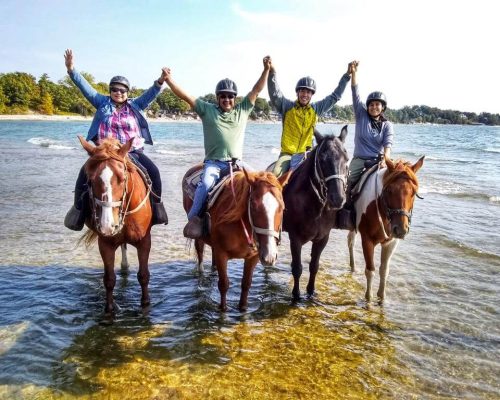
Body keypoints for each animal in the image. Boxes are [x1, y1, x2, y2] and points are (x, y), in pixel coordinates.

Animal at [76, 136, 152, 314]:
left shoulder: (144, 241)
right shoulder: (105, 243)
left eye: (123, 179)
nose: (107, 225)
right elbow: (109, 280)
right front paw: (110, 309)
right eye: (90, 180)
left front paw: (145, 304)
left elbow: (143, 276)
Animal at [182, 167, 288, 310]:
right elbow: (223, 285)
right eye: (253, 205)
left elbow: (246, 284)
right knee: (200, 253)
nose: (269, 255)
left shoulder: (253, 257)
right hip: (199, 237)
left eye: (282, 207)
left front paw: (242, 308)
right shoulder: (222, 254)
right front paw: (223, 310)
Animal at [284, 126, 350, 302]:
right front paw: (296, 295)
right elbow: (297, 268)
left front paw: (311, 291)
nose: (338, 198)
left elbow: (314, 266)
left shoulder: (322, 238)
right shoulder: (295, 238)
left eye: (347, 159)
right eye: (322, 159)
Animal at [348, 155, 426, 302]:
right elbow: (370, 270)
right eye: (389, 190)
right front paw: (368, 298)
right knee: (351, 243)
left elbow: (384, 271)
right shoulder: (367, 240)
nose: (400, 229)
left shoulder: (391, 242)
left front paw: (382, 298)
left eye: (414, 192)